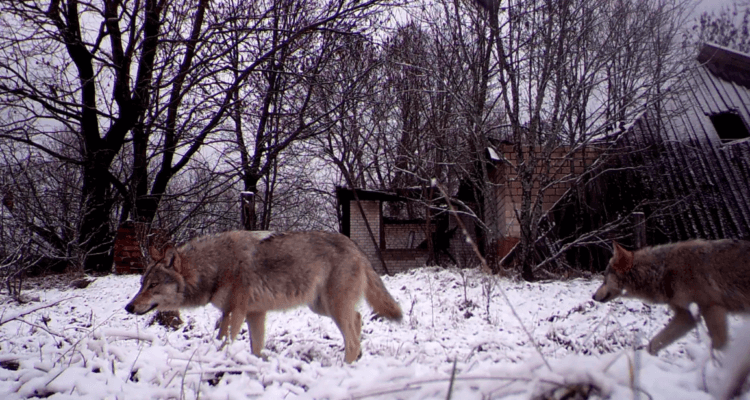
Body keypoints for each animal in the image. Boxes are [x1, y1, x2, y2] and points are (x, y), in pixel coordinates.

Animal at [125, 228, 402, 362]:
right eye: (141, 283)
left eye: (153, 285)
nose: (129, 307)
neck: (215, 266)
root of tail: (356, 247)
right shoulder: (254, 313)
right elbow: (255, 347)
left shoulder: (235, 312)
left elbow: (225, 341)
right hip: (321, 307)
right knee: (358, 319)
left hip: (332, 307)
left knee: (352, 337)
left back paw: (345, 367)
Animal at [592, 239, 750, 354]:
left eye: (605, 279)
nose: (593, 296)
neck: (662, 270)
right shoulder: (686, 317)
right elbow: (654, 343)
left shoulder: (712, 308)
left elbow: (719, 346)